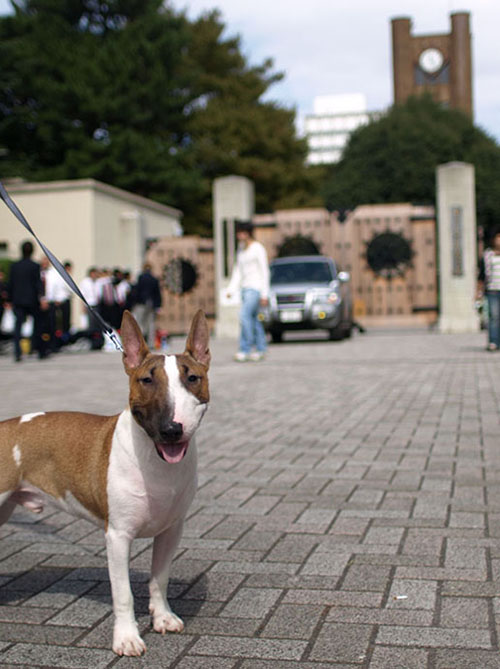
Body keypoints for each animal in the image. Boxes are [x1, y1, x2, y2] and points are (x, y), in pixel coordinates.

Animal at [0, 310, 210, 656]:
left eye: (192, 378)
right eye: (146, 379)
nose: (171, 429)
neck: (154, 462)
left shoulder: (171, 530)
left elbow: (160, 578)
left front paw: (163, 618)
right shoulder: (118, 536)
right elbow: (123, 593)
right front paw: (127, 638)